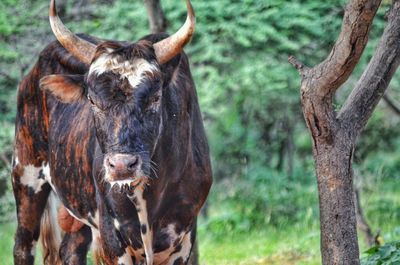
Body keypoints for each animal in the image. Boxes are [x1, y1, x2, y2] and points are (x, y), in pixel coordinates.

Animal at [11, 0, 212, 262]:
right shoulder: (111, 238)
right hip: (26, 177)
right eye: (92, 100)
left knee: (71, 249)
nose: (122, 165)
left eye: (155, 98)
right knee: (23, 246)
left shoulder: (183, 237)